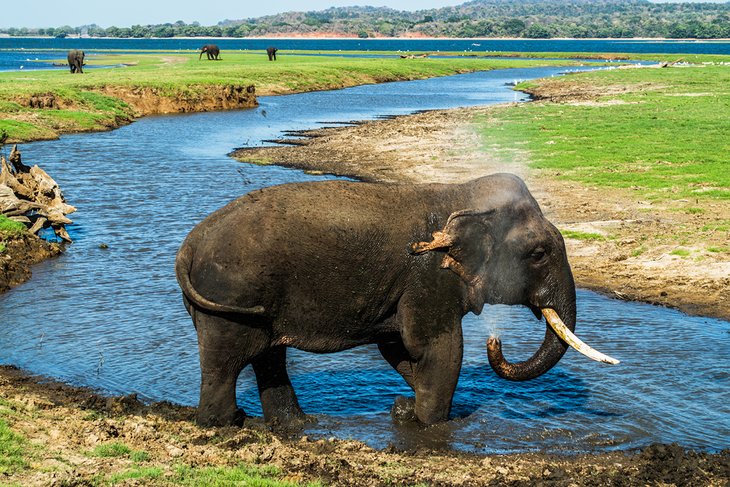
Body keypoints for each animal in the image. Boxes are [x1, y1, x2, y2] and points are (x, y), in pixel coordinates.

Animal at [176, 173, 616, 428]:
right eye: (539, 254)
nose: (495, 341)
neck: (459, 195)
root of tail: (190, 243)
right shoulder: (429, 277)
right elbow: (437, 347)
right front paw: (430, 425)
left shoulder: (408, 285)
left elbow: (400, 348)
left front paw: (404, 411)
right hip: (230, 296)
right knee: (227, 361)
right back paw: (226, 424)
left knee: (267, 359)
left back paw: (295, 426)